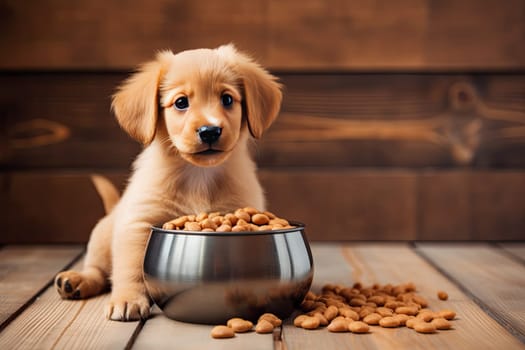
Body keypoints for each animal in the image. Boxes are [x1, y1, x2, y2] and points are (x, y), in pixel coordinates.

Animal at [54, 45, 280, 322]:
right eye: (181, 102)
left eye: (227, 99)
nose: (209, 131)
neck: (198, 175)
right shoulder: (138, 224)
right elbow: (130, 269)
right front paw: (128, 299)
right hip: (102, 237)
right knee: (97, 270)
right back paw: (76, 280)